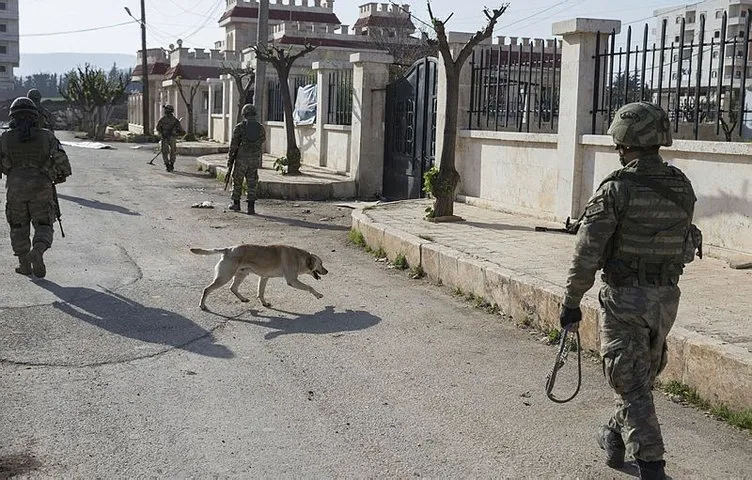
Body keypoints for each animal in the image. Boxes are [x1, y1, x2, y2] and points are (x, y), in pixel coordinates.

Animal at [189, 246, 328, 310]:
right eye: (321, 264)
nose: (327, 271)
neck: (299, 257)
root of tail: (228, 249)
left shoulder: (264, 277)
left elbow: (260, 292)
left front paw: (264, 303)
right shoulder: (292, 281)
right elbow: (309, 287)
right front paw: (318, 294)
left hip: (241, 275)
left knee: (233, 288)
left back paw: (243, 298)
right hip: (224, 277)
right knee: (207, 289)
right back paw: (202, 305)